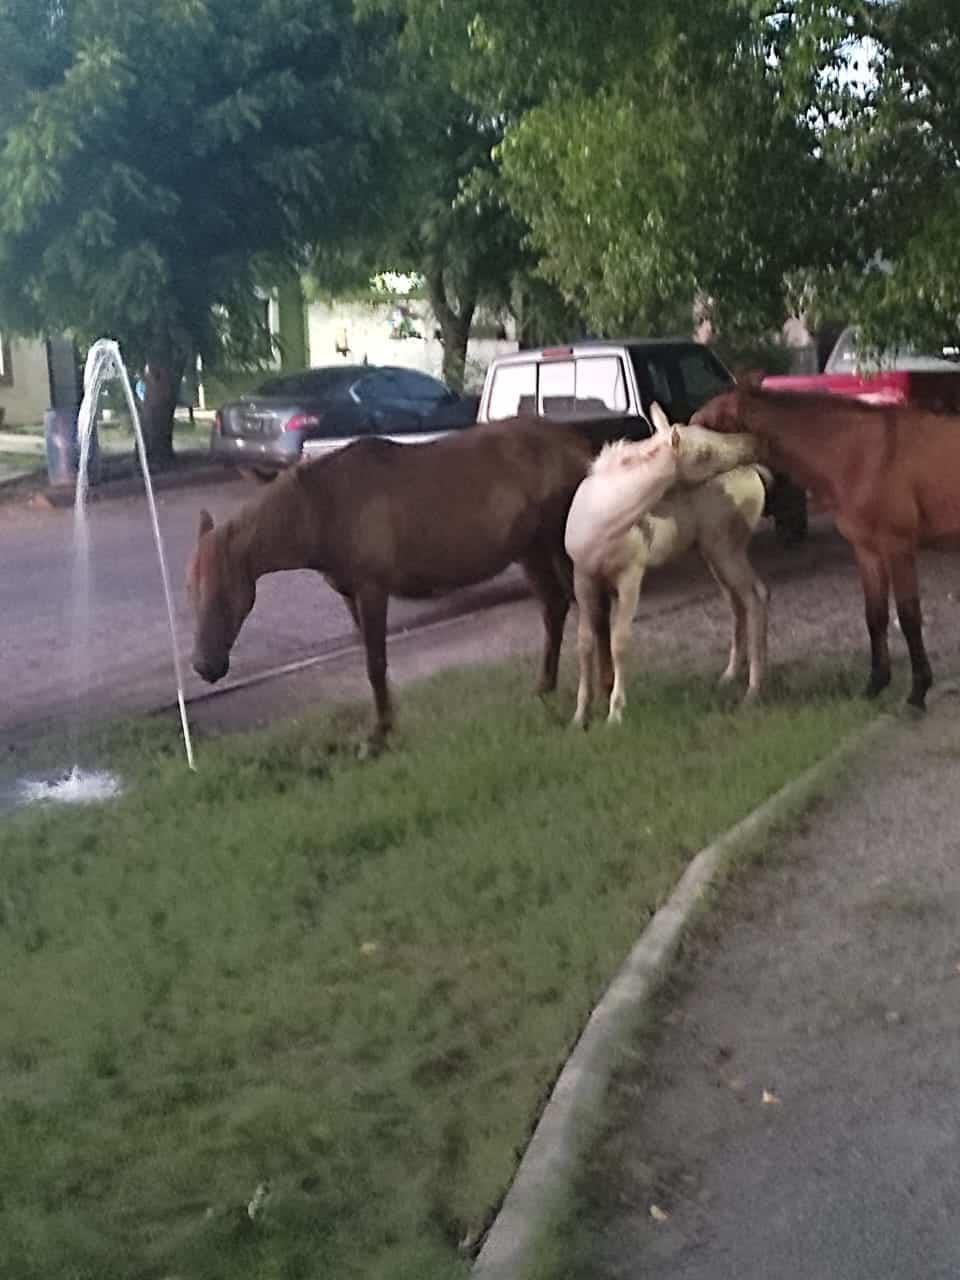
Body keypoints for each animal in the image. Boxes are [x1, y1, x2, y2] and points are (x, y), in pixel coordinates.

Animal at [188, 414, 670, 747]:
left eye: (226, 589)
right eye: (191, 590)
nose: (205, 666)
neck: (321, 511)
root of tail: (582, 446)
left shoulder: (373, 588)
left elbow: (375, 663)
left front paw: (378, 736)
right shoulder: (351, 595)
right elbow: (373, 665)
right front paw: (384, 726)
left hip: (559, 548)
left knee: (592, 613)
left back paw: (601, 691)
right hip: (529, 551)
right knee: (555, 608)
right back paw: (543, 688)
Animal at [696, 384, 960, 711]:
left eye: (707, 426)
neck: (859, 455)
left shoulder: (898, 547)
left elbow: (909, 617)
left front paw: (917, 692)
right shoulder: (867, 551)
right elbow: (875, 617)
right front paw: (875, 685)